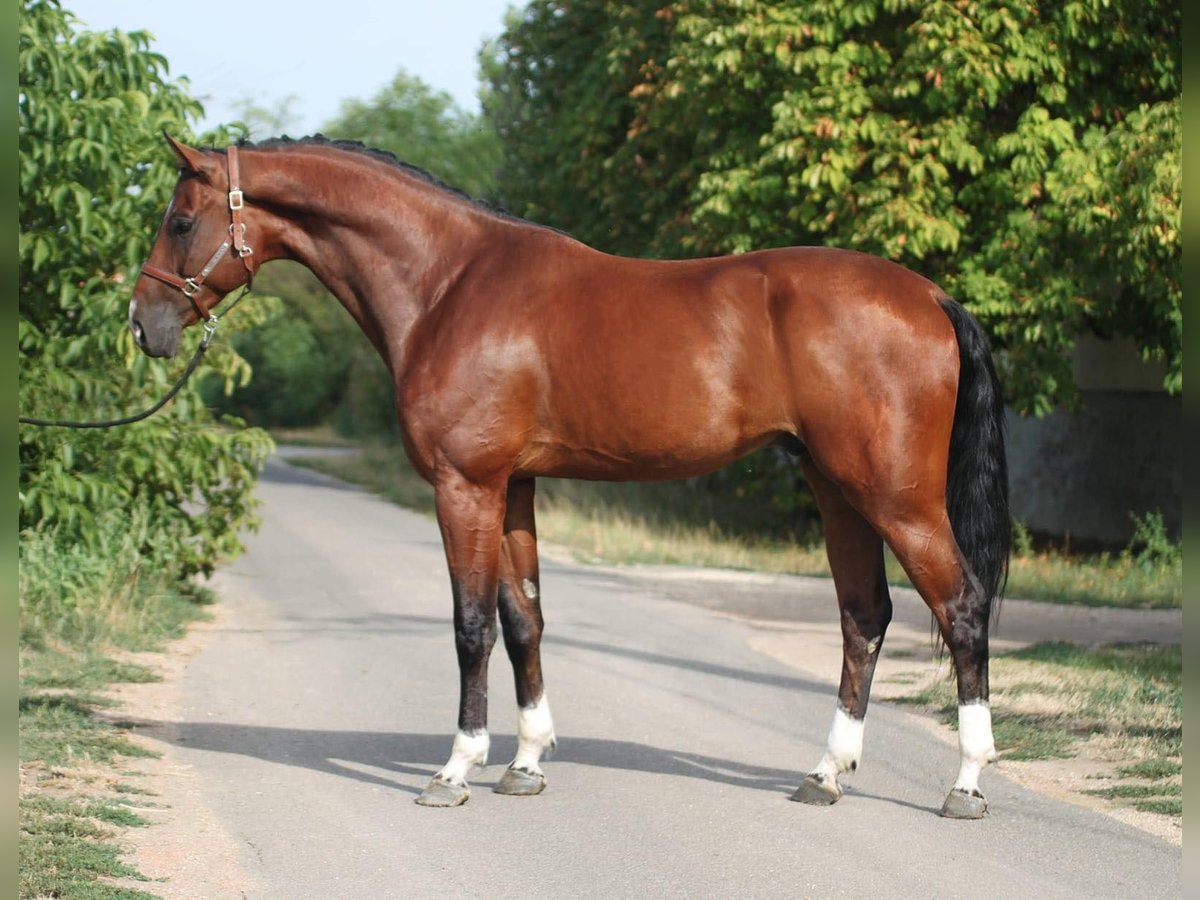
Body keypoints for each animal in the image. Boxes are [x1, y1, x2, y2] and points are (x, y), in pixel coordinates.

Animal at [131, 137, 1008, 820]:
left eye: (181, 221)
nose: (145, 326)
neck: (450, 283)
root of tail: (930, 295)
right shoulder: (514, 487)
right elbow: (525, 619)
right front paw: (525, 763)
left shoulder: (465, 484)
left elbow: (471, 625)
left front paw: (456, 769)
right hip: (838, 491)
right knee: (865, 616)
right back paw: (825, 775)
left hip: (895, 496)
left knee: (961, 608)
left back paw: (966, 784)